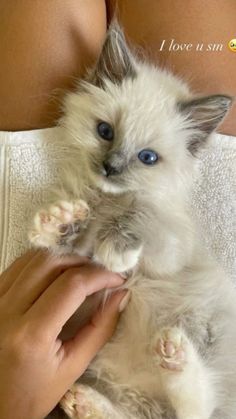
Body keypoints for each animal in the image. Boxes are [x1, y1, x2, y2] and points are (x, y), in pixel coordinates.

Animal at [28, 22, 235, 419]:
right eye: (105, 132)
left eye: (147, 157)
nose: (110, 168)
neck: (109, 200)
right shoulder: (82, 248)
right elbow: (71, 239)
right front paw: (57, 222)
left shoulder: (168, 246)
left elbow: (141, 216)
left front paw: (116, 249)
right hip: (127, 392)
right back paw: (83, 402)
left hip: (204, 326)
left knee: (198, 407)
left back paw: (174, 354)